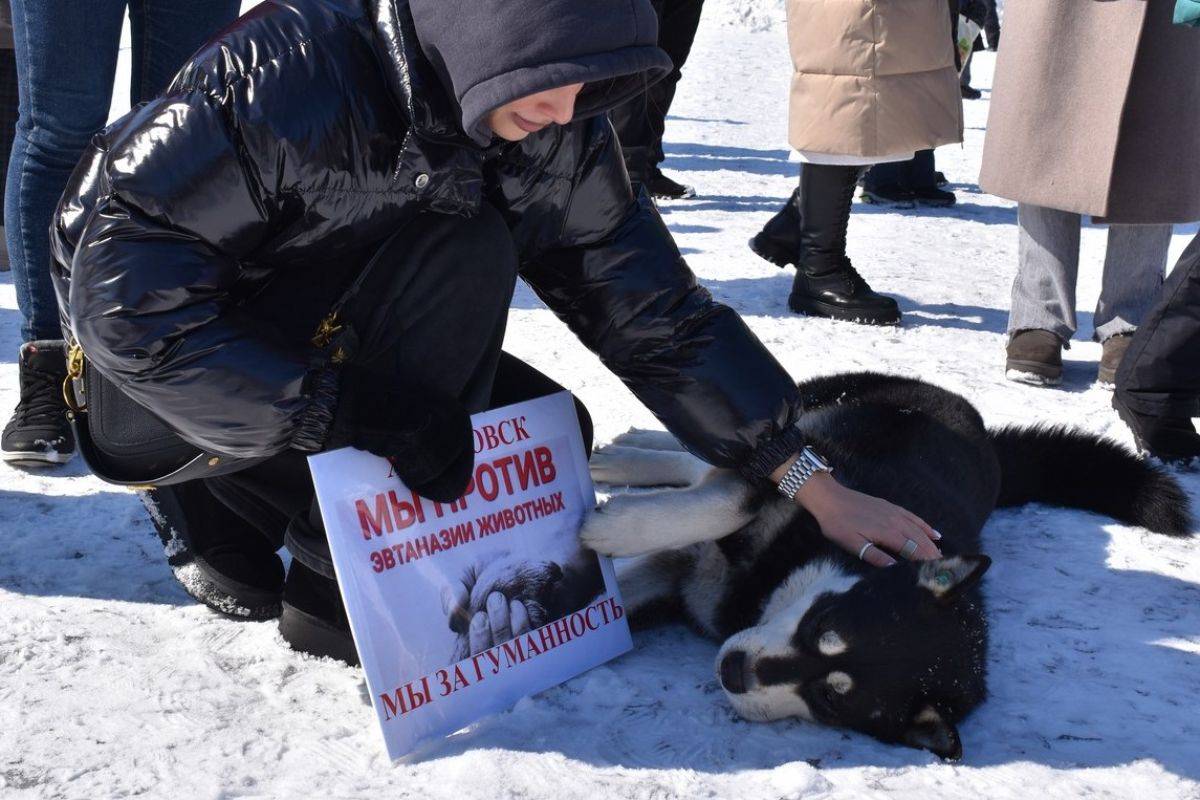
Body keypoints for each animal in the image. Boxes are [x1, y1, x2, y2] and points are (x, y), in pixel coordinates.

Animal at [576, 371, 1185, 762]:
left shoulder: (686, 584)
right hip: (814, 410)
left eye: (830, 698)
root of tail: (985, 436)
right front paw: (611, 530)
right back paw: (633, 453)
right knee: (725, 451)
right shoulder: (825, 487)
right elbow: (729, 499)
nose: (734, 671)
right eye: (822, 626)